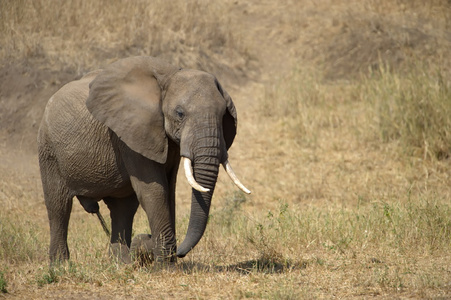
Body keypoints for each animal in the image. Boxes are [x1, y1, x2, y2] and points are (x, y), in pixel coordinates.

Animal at [37, 56, 251, 264]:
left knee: (123, 209)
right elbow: (154, 190)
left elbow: (169, 189)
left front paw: (160, 256)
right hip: (48, 150)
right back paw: (61, 266)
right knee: (58, 206)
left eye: (223, 115)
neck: (170, 75)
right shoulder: (130, 133)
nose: (180, 253)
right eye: (180, 113)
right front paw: (165, 266)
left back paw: (122, 263)